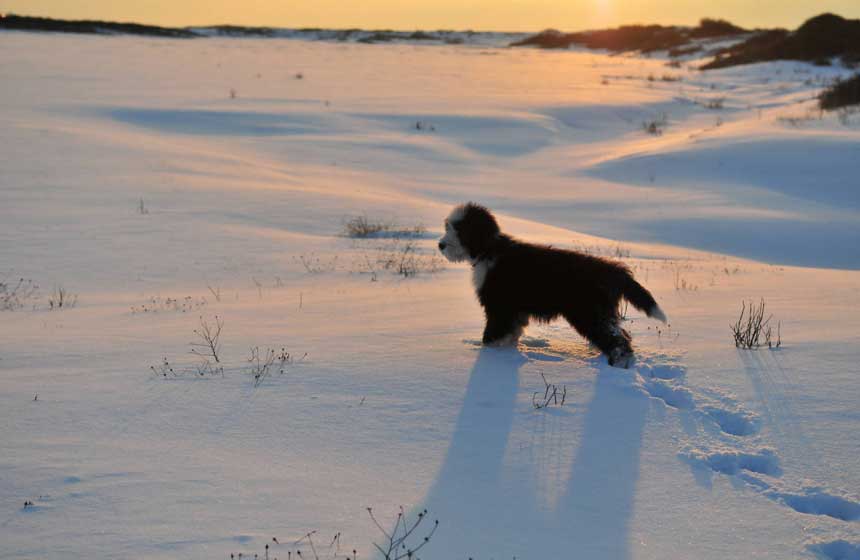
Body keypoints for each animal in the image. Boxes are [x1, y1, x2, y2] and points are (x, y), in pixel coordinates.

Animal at [436, 201, 664, 368]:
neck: (488, 249)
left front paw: (488, 354)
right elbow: (512, 332)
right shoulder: (514, 311)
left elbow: (493, 333)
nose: (440, 245)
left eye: (459, 229)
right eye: (448, 226)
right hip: (602, 312)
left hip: (589, 312)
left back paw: (619, 362)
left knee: (616, 339)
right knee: (620, 334)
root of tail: (611, 269)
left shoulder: (499, 306)